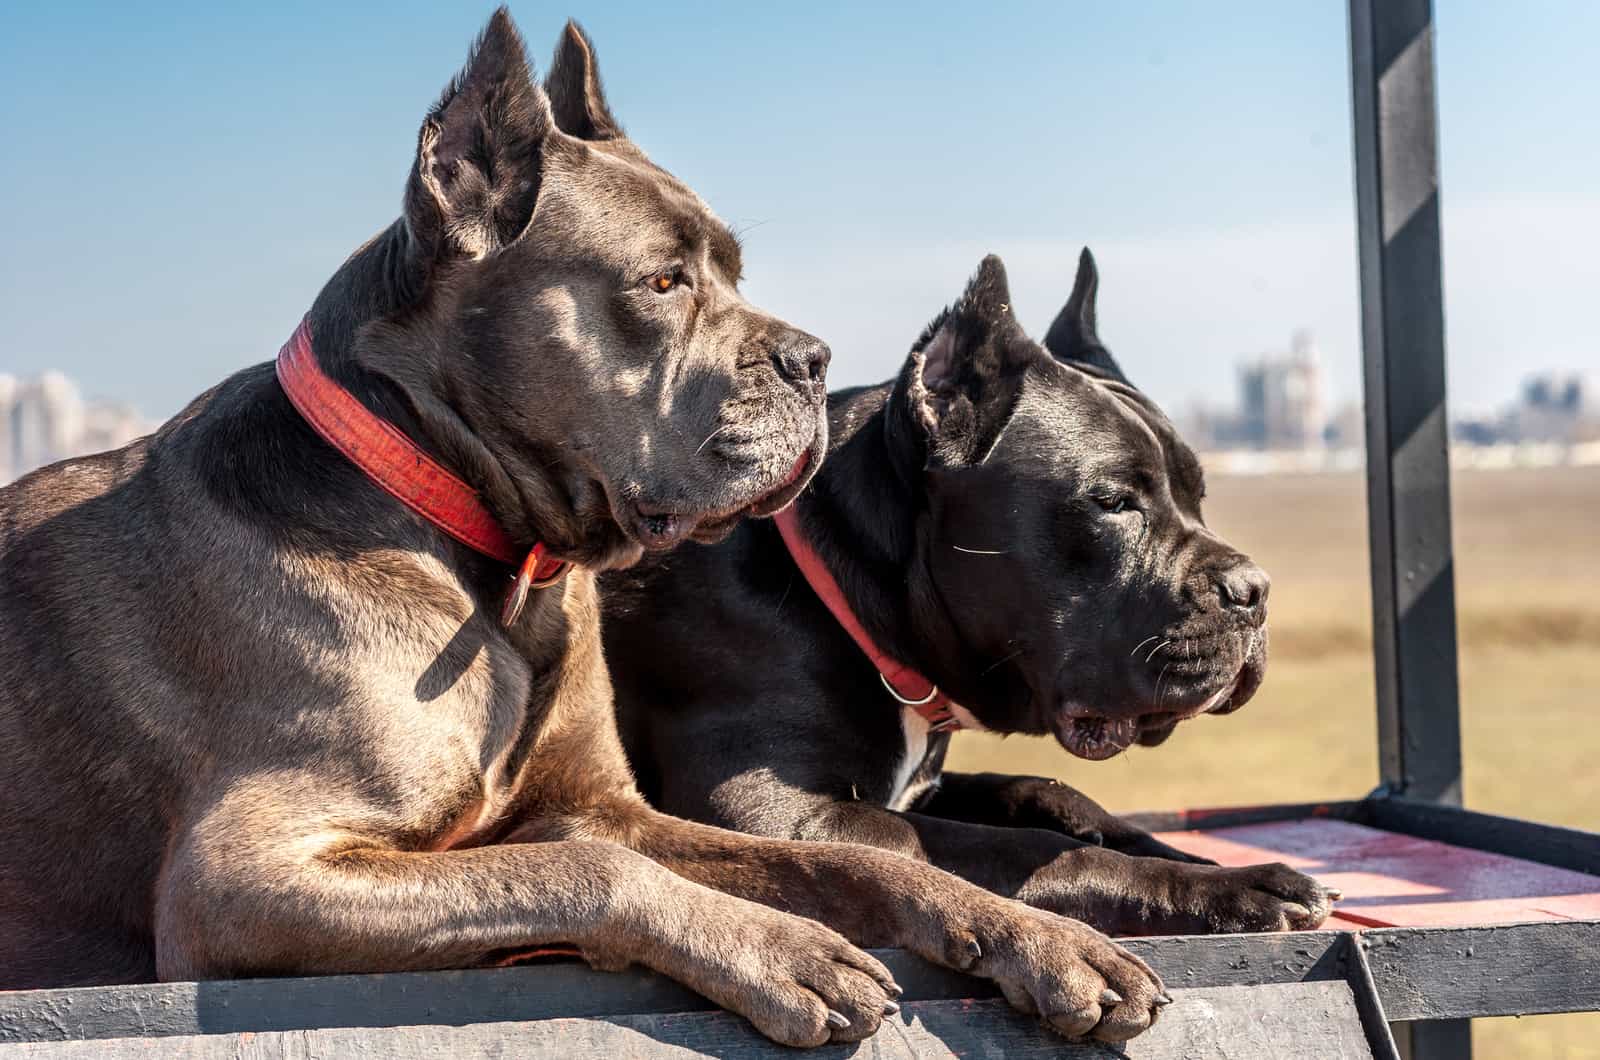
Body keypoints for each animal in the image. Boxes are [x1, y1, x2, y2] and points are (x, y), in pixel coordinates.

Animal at [0, 10, 1171, 1056]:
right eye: (662, 281)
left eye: (735, 271)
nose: (814, 357)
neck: (481, 556)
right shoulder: (247, 878)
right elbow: (584, 869)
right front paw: (779, 949)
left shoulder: (614, 805)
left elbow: (865, 861)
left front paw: (1037, 935)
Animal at [604, 252, 1344, 935]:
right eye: (1112, 502)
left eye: (1199, 496)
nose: (1254, 590)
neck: (841, 588)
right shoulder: (768, 814)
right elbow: (1015, 850)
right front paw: (1230, 888)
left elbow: (1044, 793)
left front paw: (1196, 860)